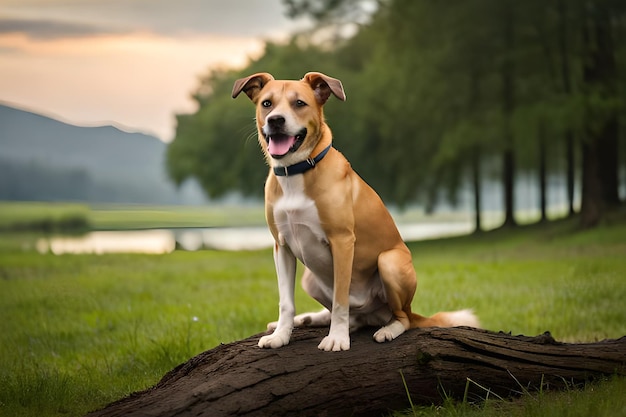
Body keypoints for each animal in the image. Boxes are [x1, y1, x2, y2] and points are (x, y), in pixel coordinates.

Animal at [230, 72, 478, 352]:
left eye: (299, 103)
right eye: (267, 104)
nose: (275, 120)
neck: (296, 171)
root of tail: (373, 314)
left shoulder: (342, 242)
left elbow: (340, 300)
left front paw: (337, 339)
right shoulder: (281, 246)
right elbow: (286, 302)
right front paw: (281, 335)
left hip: (389, 263)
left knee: (401, 318)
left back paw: (387, 330)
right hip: (310, 278)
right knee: (351, 317)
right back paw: (308, 319)